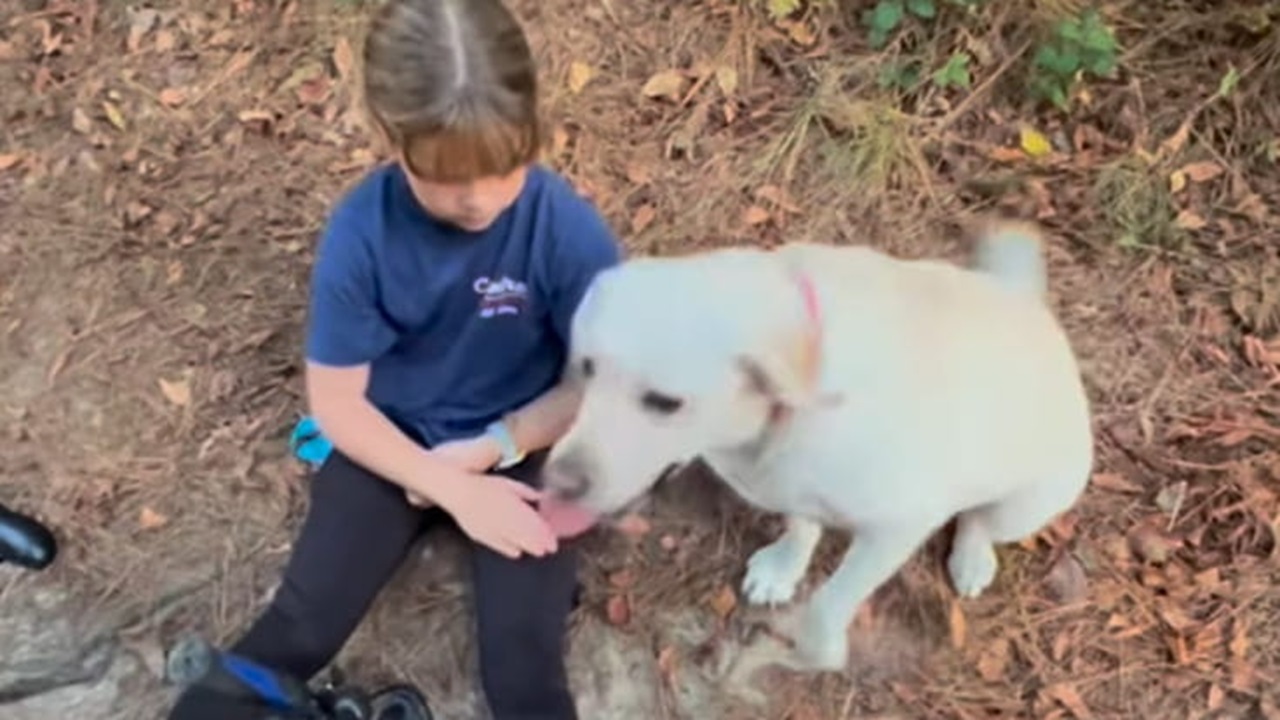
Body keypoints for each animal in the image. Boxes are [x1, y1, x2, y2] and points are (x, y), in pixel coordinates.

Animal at [545, 221, 1095, 671]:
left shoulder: (897, 528)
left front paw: (817, 651)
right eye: (587, 368)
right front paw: (783, 569)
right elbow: (801, 527)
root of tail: (1027, 300)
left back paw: (972, 558)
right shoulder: (792, 486)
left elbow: (829, 605)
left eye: (665, 401)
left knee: (980, 520)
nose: (556, 482)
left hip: (1029, 501)